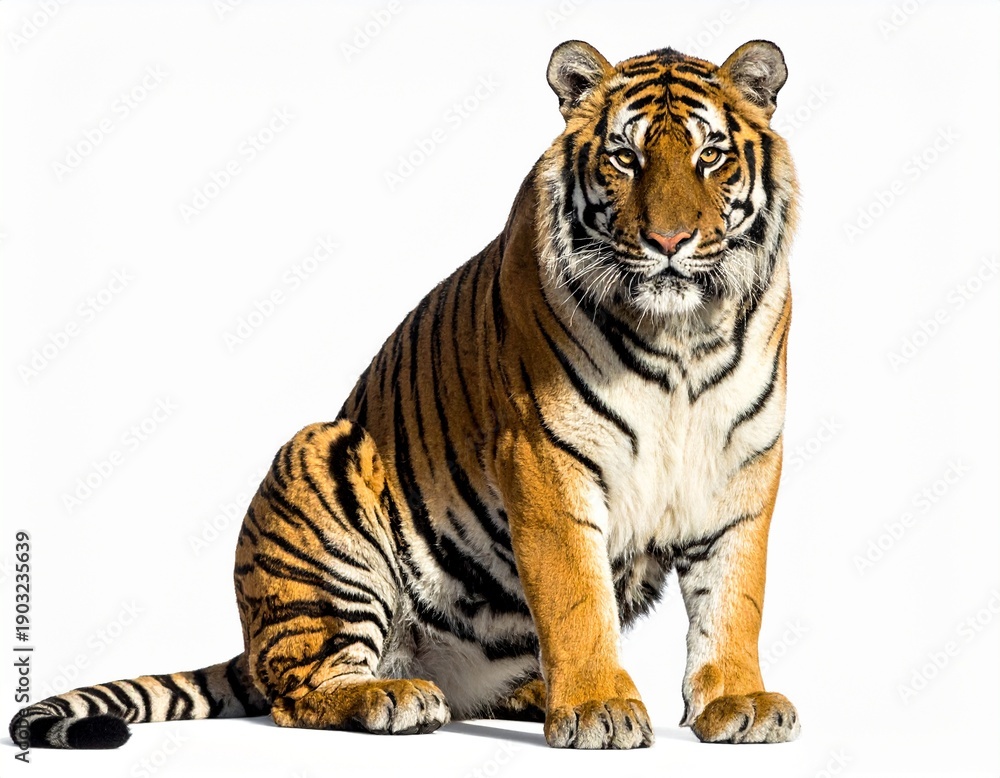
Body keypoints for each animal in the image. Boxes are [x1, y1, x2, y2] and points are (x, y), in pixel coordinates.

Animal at [10, 38, 799, 751]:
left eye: (710, 156)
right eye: (625, 158)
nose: (670, 241)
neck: (681, 338)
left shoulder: (744, 462)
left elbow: (736, 597)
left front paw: (738, 703)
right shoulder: (545, 458)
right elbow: (578, 599)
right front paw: (600, 708)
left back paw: (523, 693)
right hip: (322, 466)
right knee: (297, 691)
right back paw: (392, 697)